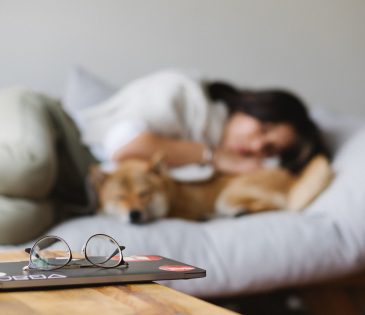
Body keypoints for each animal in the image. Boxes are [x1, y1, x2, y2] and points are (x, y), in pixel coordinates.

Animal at [89, 154, 332, 223]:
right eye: (119, 197)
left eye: (143, 194)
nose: (135, 214)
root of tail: (293, 180)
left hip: (227, 196)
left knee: (275, 206)